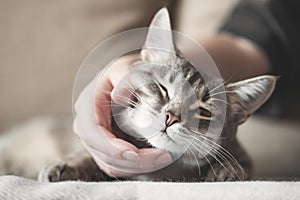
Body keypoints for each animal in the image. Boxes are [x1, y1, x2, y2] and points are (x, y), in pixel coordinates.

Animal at [39, 8, 276, 182]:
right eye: (162, 88)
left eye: (204, 111)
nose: (171, 117)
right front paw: (67, 165)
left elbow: (240, 162)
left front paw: (227, 170)